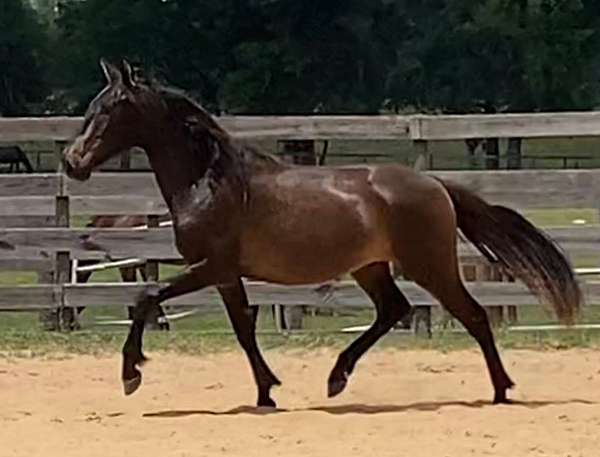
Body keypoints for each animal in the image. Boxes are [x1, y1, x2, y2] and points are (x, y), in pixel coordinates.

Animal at [62, 59, 580, 406]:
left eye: (109, 110)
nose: (72, 162)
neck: (208, 179)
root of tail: (435, 184)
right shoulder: (227, 275)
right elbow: (243, 330)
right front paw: (267, 392)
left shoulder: (211, 267)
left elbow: (145, 299)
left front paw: (131, 374)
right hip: (372, 268)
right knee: (395, 310)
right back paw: (337, 377)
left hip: (429, 265)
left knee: (472, 316)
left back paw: (501, 389)